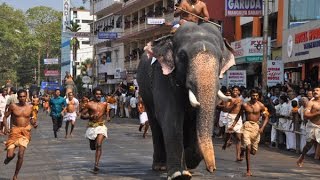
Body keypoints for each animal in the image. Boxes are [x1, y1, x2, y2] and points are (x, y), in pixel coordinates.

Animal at [136, 21, 236, 179]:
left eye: (221, 58)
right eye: (182, 56)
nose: (212, 169)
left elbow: (196, 121)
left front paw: (189, 163)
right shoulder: (162, 76)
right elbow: (171, 117)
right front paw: (179, 174)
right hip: (144, 91)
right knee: (155, 122)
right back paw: (160, 166)